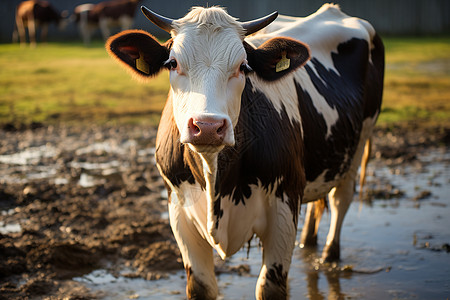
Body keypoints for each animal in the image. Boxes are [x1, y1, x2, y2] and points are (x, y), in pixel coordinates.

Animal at [104, 3, 384, 298]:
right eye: (173, 63)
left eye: (243, 66)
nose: (207, 126)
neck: (216, 181)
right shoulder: (178, 210)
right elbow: (201, 286)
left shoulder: (283, 206)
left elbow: (270, 286)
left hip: (361, 138)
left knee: (340, 198)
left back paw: (330, 255)